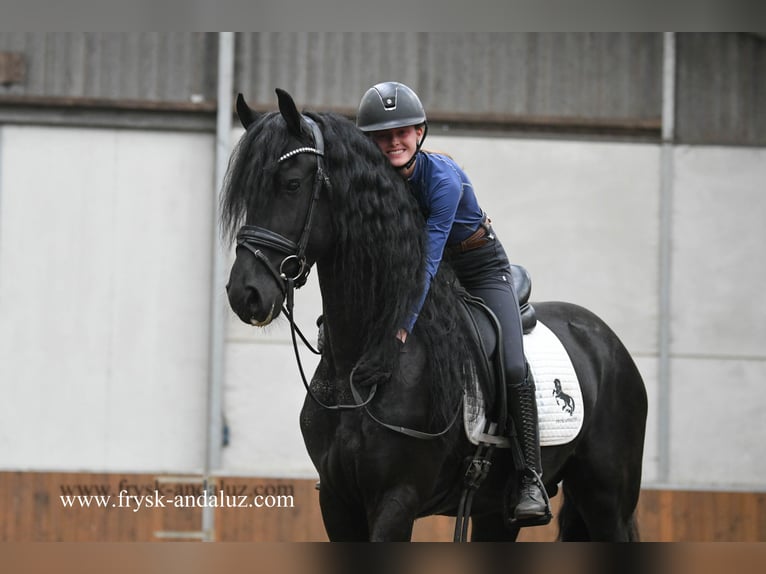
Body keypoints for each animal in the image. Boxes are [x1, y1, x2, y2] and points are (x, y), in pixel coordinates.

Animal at [222, 88, 648, 544]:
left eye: (292, 184)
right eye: (247, 195)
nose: (245, 294)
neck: (358, 364)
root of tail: (607, 342)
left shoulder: (397, 498)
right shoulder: (336, 500)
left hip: (606, 500)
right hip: (497, 514)